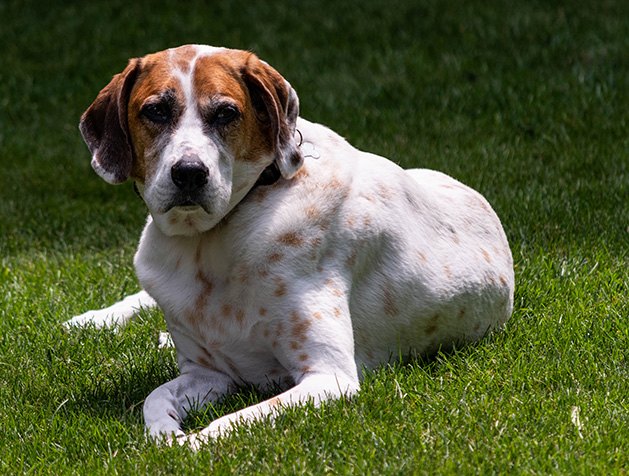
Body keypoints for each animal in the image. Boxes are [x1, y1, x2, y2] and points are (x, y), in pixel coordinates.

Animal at [65, 42, 516, 448]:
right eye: (155, 111)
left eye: (226, 113)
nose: (189, 173)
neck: (208, 243)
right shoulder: (206, 372)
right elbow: (154, 401)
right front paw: (166, 434)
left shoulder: (328, 376)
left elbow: (232, 421)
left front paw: (192, 443)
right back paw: (92, 320)